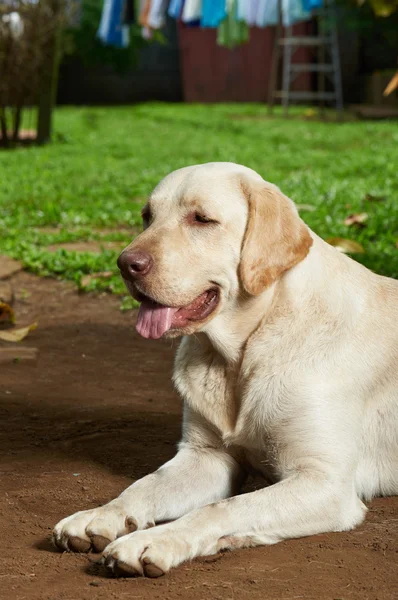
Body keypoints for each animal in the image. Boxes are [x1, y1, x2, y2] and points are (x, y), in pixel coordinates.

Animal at [54, 162, 398, 580]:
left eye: (202, 219)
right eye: (147, 216)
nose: (125, 264)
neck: (241, 354)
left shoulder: (324, 482)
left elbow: (221, 508)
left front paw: (152, 541)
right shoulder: (205, 456)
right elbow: (144, 485)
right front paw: (101, 515)